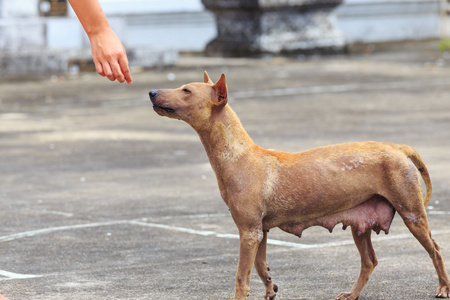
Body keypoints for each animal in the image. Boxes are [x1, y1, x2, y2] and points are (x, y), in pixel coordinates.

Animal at [149, 71, 450, 298]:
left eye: (186, 90)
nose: (151, 92)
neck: (240, 155)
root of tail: (399, 147)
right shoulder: (259, 232)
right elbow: (261, 267)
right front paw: (270, 288)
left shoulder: (248, 232)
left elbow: (241, 278)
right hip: (361, 223)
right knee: (370, 261)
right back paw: (352, 294)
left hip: (412, 213)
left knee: (435, 250)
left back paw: (443, 288)